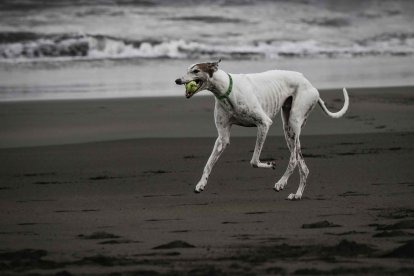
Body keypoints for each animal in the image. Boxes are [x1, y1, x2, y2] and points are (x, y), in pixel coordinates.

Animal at [175, 59, 350, 199]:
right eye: (187, 69)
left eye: (196, 71)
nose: (177, 80)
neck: (227, 90)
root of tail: (310, 84)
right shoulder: (222, 138)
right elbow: (209, 163)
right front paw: (201, 184)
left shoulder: (264, 123)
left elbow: (254, 161)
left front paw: (270, 164)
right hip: (289, 131)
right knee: (304, 167)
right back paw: (297, 194)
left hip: (294, 121)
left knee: (293, 159)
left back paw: (281, 182)